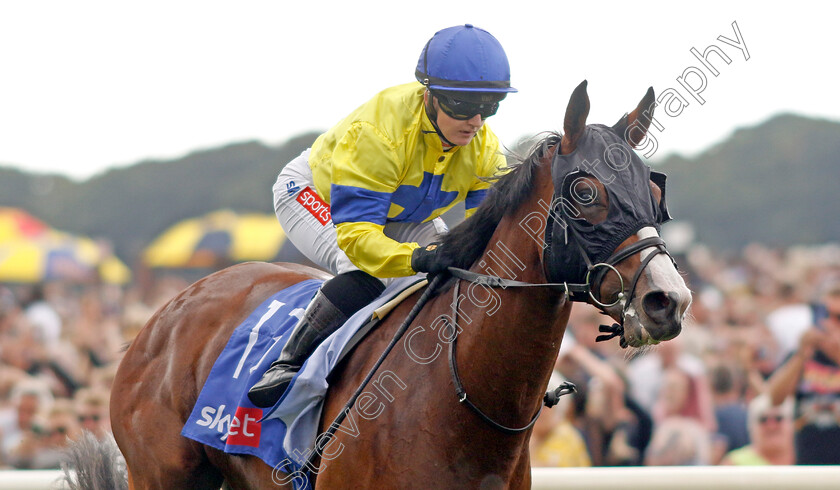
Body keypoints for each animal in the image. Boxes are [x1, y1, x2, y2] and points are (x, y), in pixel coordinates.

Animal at [100, 82, 688, 488]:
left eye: (655, 189)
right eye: (586, 192)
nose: (669, 300)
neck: (463, 404)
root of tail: (163, 313)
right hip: (160, 473)